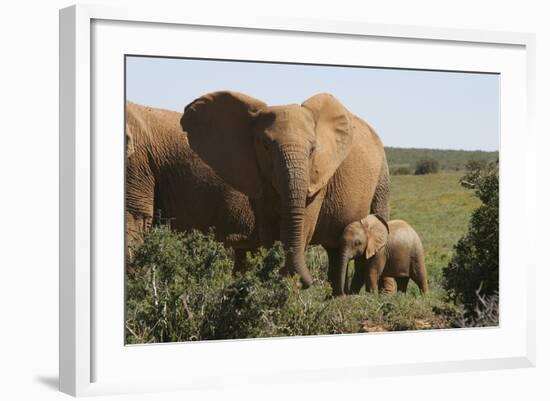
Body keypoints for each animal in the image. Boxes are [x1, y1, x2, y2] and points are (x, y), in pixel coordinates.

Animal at [183, 90, 390, 288]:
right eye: (265, 145)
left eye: (313, 149)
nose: (310, 283)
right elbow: (267, 230)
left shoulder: (317, 178)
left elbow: (303, 226)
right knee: (335, 252)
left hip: (382, 175)